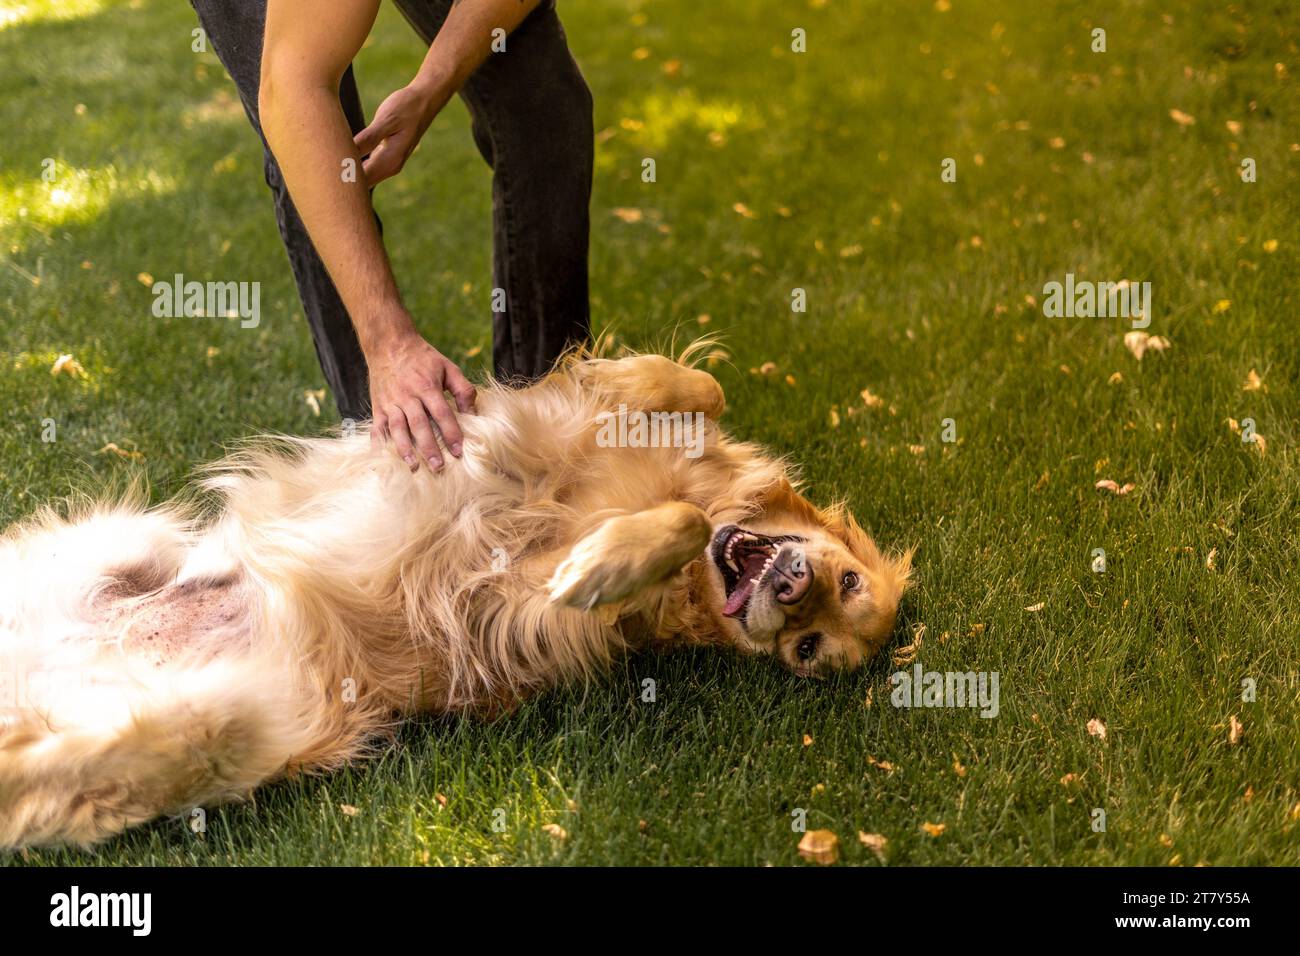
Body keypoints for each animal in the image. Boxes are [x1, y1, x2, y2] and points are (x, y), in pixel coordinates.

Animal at [0, 343, 915, 842]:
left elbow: (674, 524)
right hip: (134, 541)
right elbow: (695, 393)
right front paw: (630, 385)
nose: (790, 586)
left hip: (223, 724)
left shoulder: (518, 606)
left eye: (809, 648)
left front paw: (600, 564)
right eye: (844, 577)